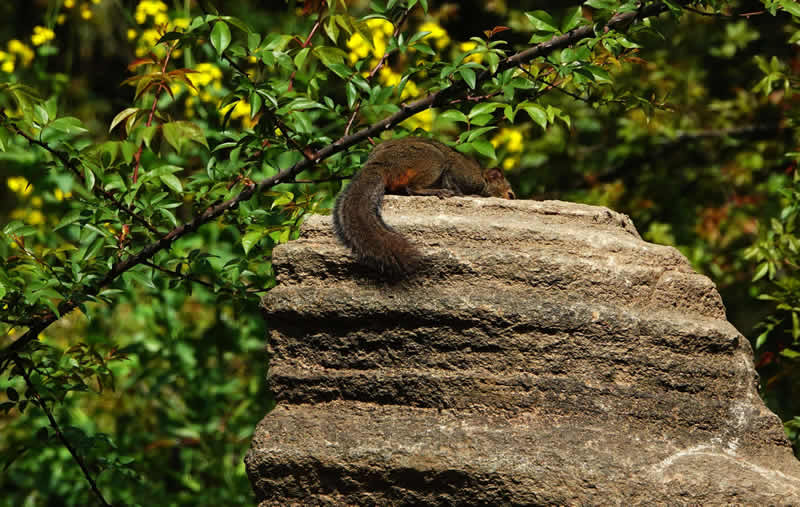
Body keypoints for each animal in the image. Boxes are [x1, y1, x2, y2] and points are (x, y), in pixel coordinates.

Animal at [332, 137, 516, 276]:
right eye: (510, 195)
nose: (513, 199)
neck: (482, 179)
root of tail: (379, 162)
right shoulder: (463, 174)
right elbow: (453, 181)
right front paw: (467, 195)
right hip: (431, 159)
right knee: (413, 188)